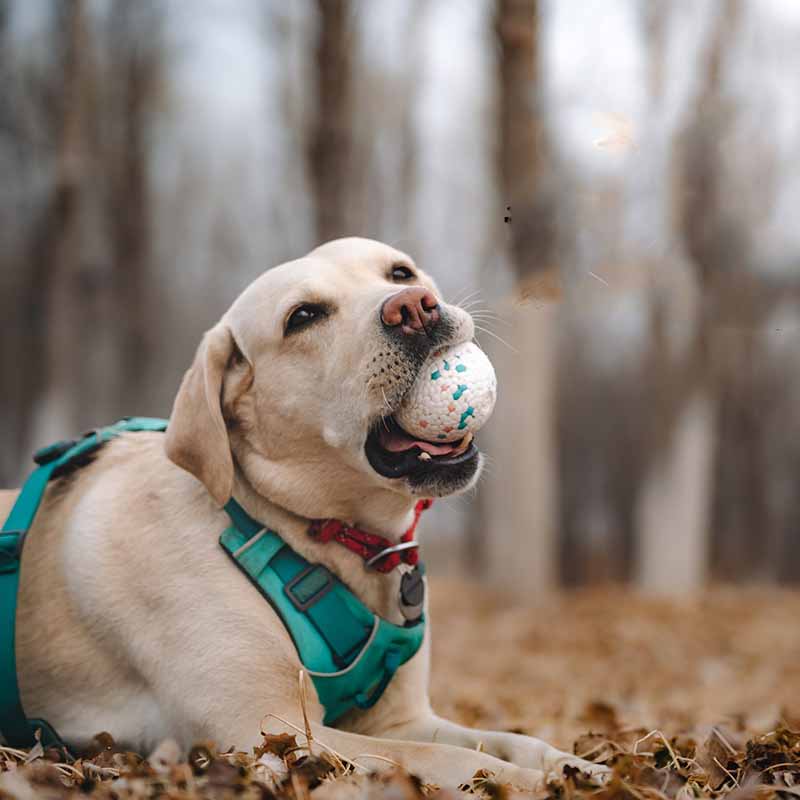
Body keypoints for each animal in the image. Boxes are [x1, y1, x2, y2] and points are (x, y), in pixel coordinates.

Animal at [0, 236, 600, 788]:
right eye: (303, 317)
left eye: (399, 272)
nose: (414, 306)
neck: (310, 531)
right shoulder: (266, 725)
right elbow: (444, 759)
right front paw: (528, 784)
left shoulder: (400, 719)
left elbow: (508, 742)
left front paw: (578, 767)